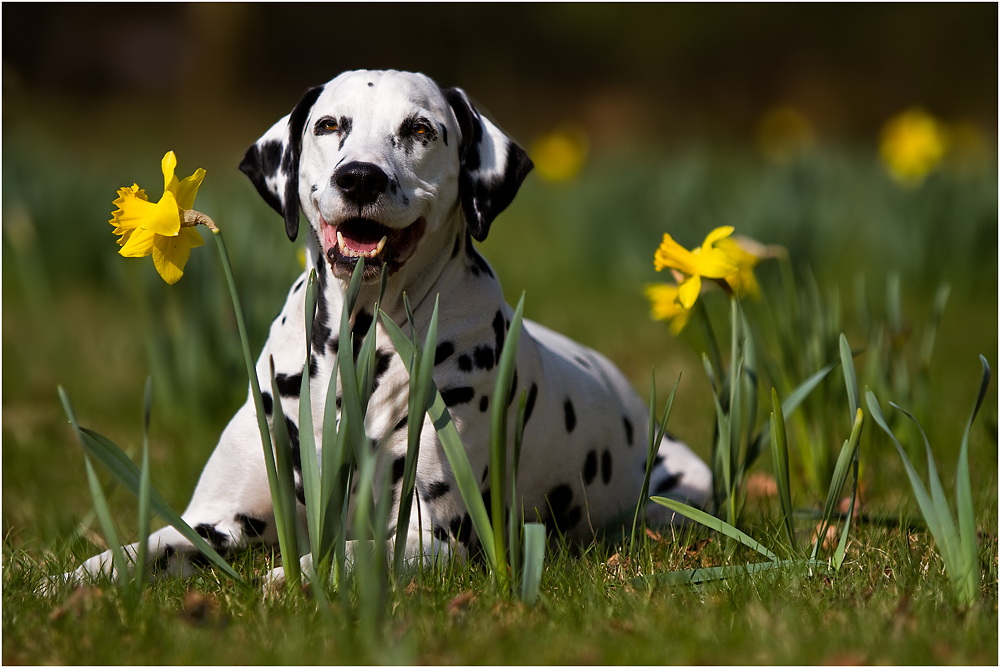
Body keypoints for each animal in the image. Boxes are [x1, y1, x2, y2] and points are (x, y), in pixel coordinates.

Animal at [56, 69, 712, 588]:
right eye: (328, 125)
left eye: (420, 129)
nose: (360, 178)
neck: (355, 344)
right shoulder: (217, 520)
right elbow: (139, 549)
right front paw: (72, 580)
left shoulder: (430, 537)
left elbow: (343, 554)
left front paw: (296, 577)